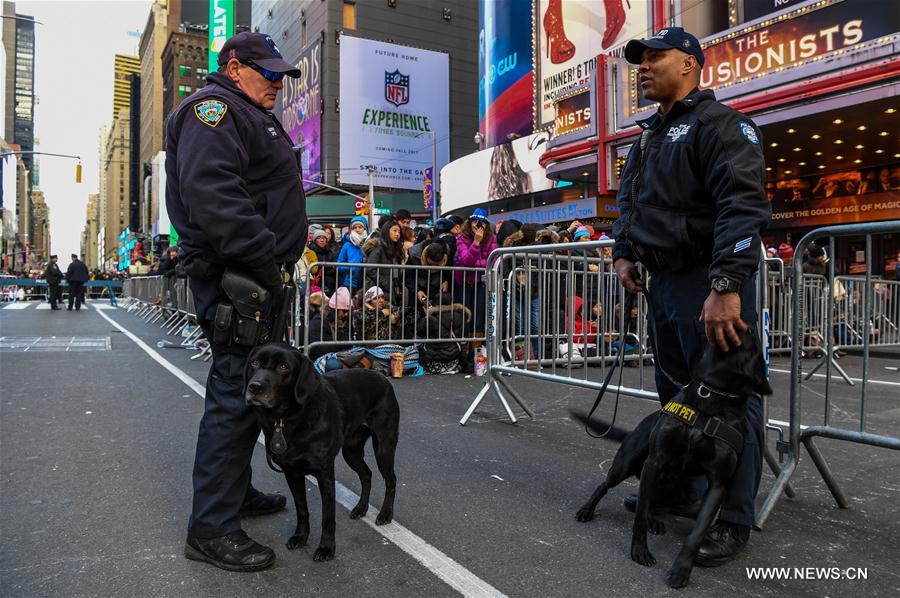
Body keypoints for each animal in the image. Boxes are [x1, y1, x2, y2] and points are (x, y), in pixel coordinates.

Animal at [246, 342, 400, 564]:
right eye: (254, 363)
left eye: (283, 367)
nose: (255, 387)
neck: (289, 419)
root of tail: (382, 377)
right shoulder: (292, 473)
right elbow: (302, 509)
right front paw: (300, 537)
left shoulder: (324, 473)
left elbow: (328, 516)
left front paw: (326, 548)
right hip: (351, 451)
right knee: (367, 474)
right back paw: (361, 508)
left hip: (384, 447)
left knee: (391, 480)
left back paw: (385, 514)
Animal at [572, 328, 768, 592]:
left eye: (753, 344)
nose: (748, 326)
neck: (714, 396)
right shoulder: (653, 463)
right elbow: (639, 517)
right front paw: (639, 551)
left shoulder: (717, 486)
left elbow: (696, 535)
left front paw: (681, 570)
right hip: (627, 464)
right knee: (610, 488)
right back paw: (588, 509)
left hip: (686, 495)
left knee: (657, 505)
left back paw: (656, 520)